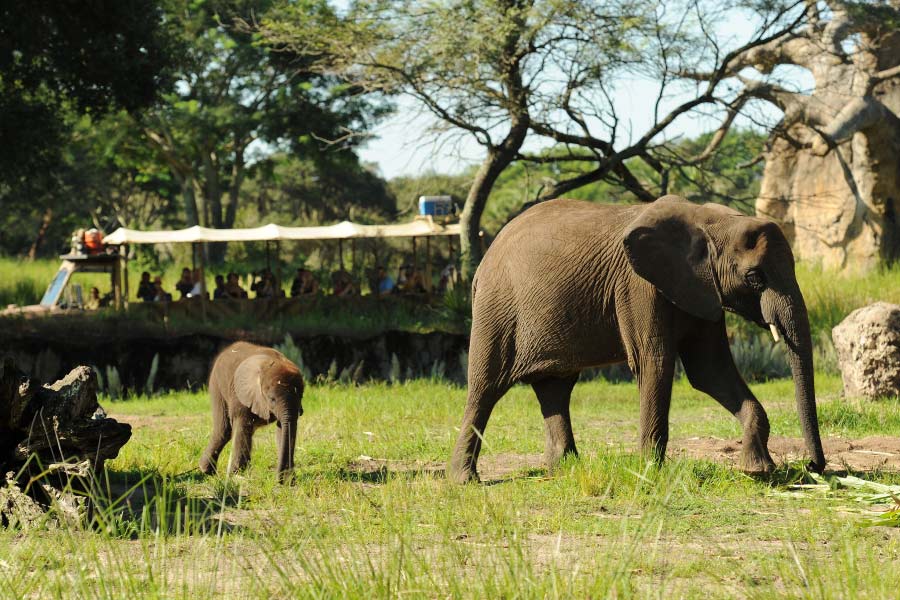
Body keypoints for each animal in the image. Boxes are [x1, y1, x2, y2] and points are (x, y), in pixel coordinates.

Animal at [200, 342, 304, 482]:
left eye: (301, 396)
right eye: (272, 399)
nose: (279, 480)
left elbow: (284, 428)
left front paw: (289, 479)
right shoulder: (240, 394)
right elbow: (242, 424)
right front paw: (236, 475)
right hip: (217, 384)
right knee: (224, 430)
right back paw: (206, 471)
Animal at [446, 196, 828, 482]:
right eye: (754, 278)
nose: (813, 466)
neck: (709, 220)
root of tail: (482, 263)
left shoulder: (702, 289)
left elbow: (710, 371)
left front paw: (758, 471)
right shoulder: (638, 286)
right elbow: (654, 363)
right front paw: (651, 473)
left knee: (555, 388)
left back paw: (567, 470)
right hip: (497, 308)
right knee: (485, 388)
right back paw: (465, 480)